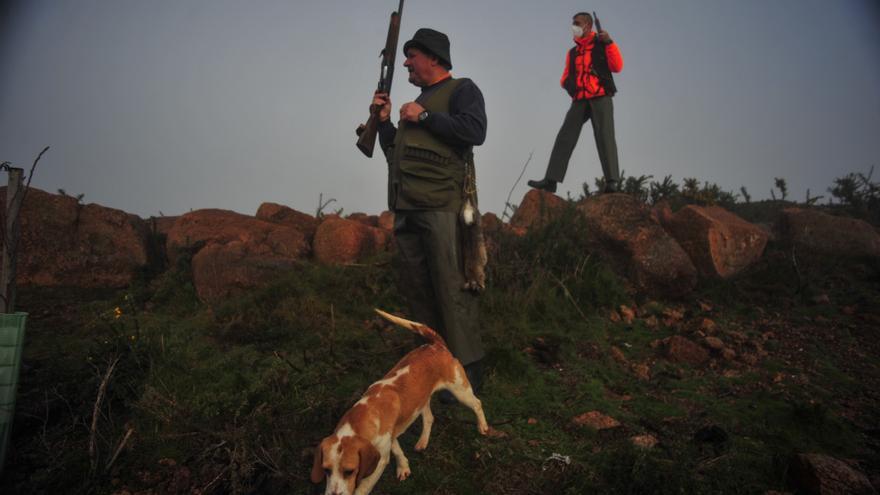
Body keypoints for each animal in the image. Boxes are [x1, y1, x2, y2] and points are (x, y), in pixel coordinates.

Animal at [310, 308, 488, 494]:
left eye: (349, 471)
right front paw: (404, 467)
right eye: (326, 470)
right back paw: (423, 441)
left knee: (477, 404)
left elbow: (363, 487)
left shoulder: (379, 461)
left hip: (460, 391)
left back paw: (483, 426)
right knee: (429, 418)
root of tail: (436, 345)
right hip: (421, 400)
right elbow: (397, 451)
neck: (362, 417)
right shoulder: (391, 436)